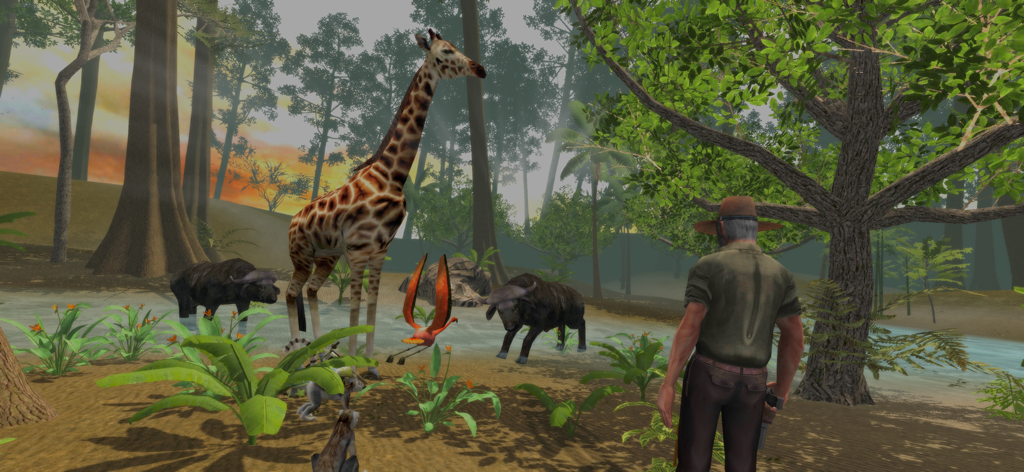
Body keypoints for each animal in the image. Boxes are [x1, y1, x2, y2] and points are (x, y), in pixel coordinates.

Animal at [285, 29, 486, 380]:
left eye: (455, 46)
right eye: (445, 52)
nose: (480, 68)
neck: (393, 175)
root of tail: (291, 223)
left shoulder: (379, 252)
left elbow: (373, 306)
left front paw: (369, 367)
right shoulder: (358, 251)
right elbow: (354, 307)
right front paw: (352, 371)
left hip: (326, 258)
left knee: (309, 291)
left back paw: (319, 353)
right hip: (303, 256)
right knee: (290, 291)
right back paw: (298, 354)